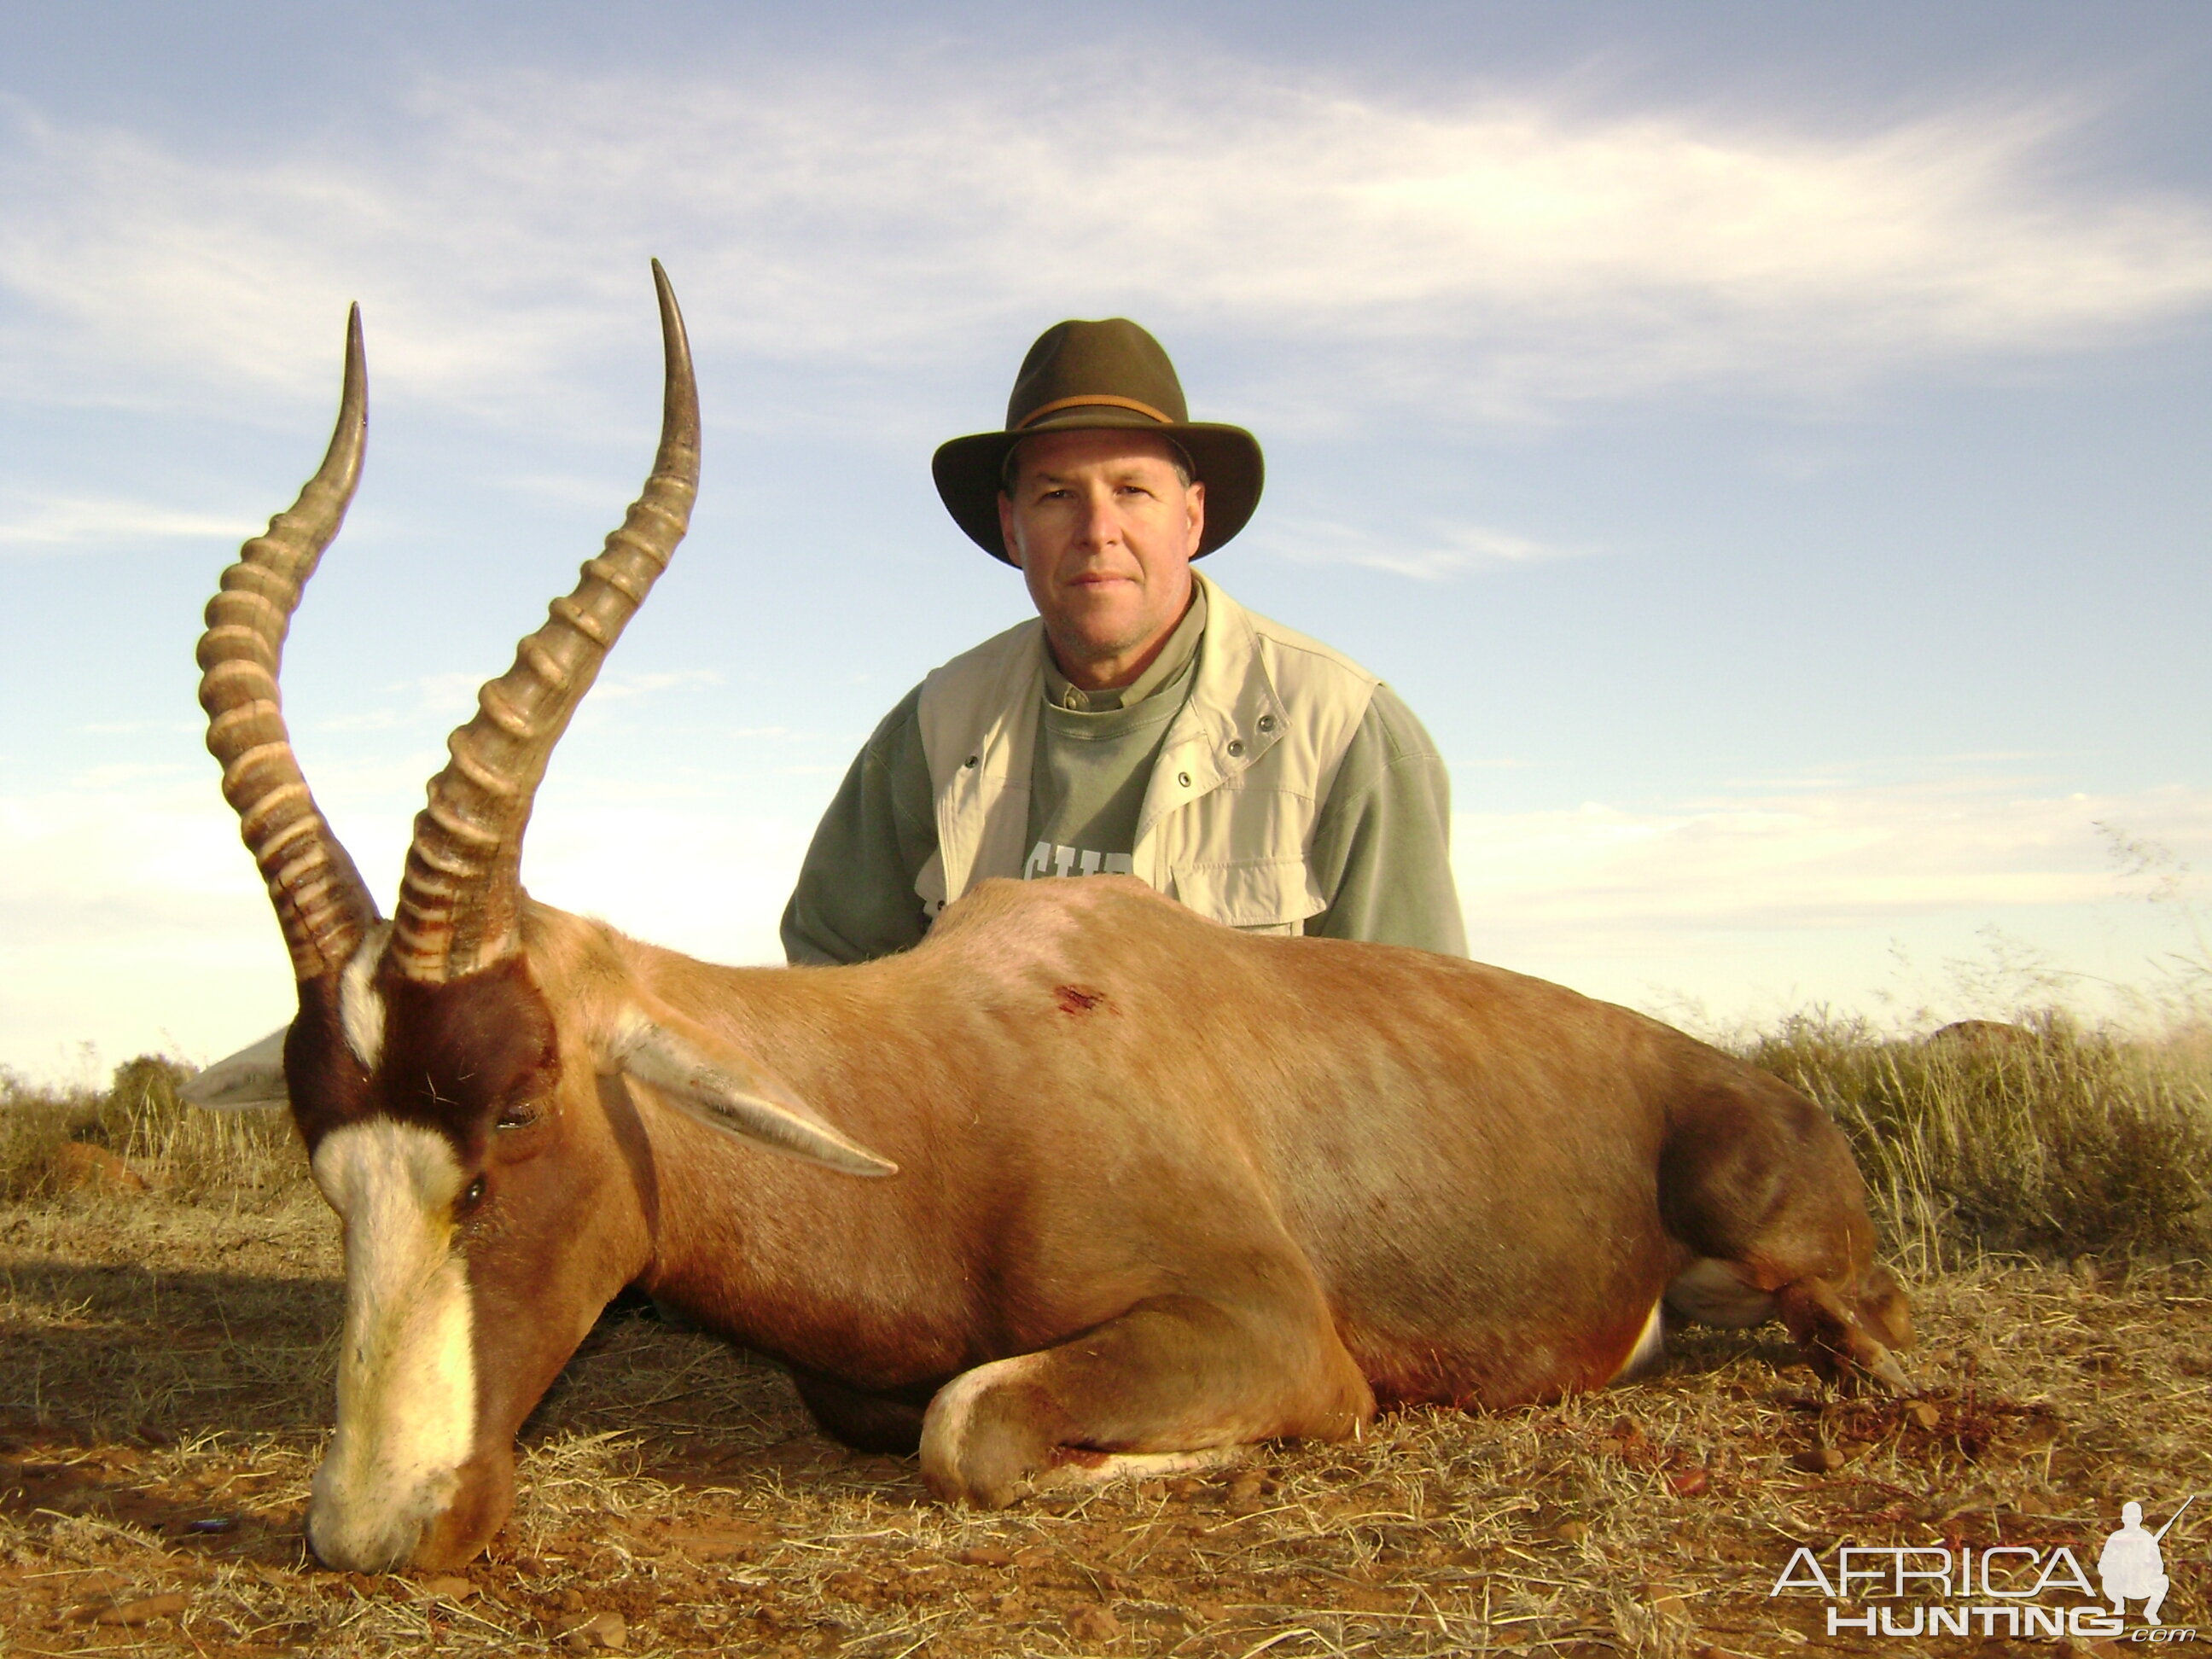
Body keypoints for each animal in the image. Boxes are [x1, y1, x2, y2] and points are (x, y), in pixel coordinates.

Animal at [199, 266, 1911, 1575]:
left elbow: (976, 1422)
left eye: (517, 1109)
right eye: (324, 1153)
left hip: (1797, 1262)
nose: (371, 1530)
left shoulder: (1261, 1324)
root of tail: (1754, 1084)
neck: (950, 1080)